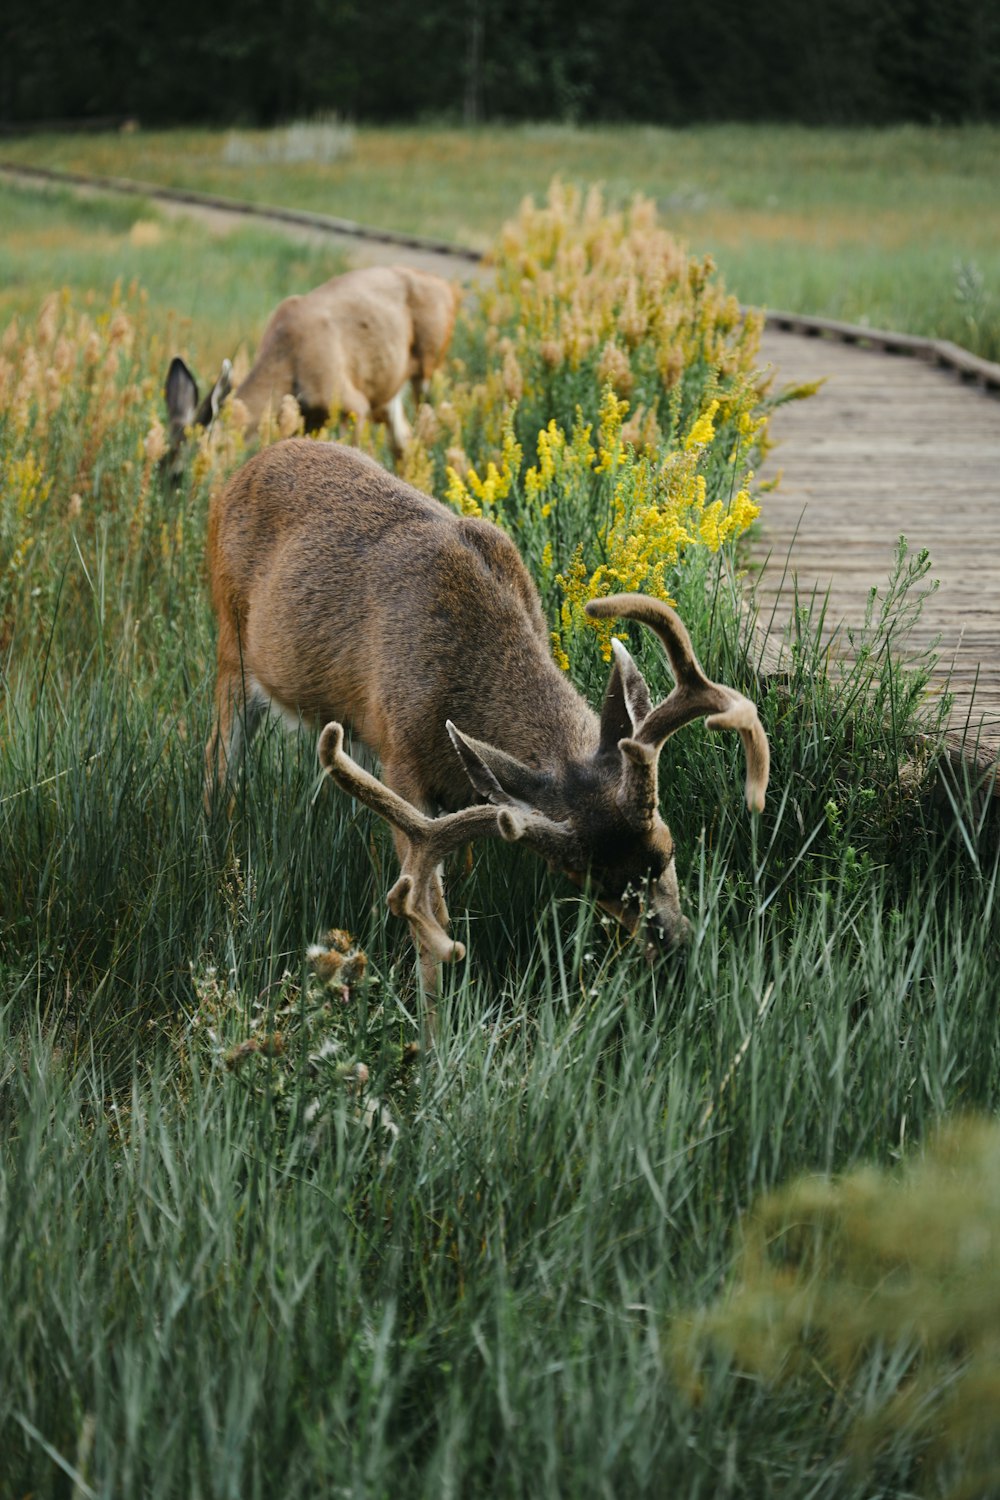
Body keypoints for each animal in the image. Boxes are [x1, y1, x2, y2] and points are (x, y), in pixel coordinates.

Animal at [164, 264, 461, 471]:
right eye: (161, 467)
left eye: (180, 472)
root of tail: (447, 287)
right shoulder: (305, 421)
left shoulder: (353, 404)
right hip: (388, 388)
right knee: (403, 439)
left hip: (429, 365)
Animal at [209, 435, 773, 1020]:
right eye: (589, 880)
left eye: (667, 849)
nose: (679, 950)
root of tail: (247, 467)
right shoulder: (402, 758)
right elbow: (430, 907)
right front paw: (435, 1023)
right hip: (231, 644)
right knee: (218, 761)